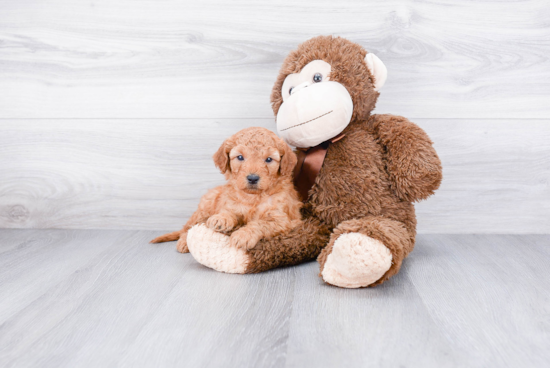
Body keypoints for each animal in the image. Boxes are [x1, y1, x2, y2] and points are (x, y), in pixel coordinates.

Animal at [152, 127, 302, 253]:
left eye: (269, 159)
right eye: (240, 157)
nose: (253, 178)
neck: (253, 197)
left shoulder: (283, 220)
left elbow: (260, 223)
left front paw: (243, 235)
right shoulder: (232, 206)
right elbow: (229, 212)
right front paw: (221, 219)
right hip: (204, 207)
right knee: (188, 228)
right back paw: (184, 242)